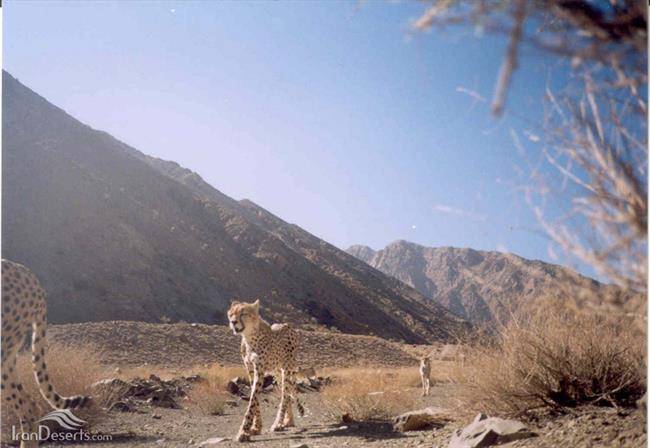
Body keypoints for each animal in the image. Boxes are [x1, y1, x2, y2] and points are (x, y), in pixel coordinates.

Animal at [228, 300, 304, 442]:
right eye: (231, 314)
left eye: (243, 313)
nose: (233, 322)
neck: (249, 337)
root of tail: (287, 325)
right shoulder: (250, 369)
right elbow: (255, 397)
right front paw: (256, 427)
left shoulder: (260, 369)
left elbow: (253, 400)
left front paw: (243, 432)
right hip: (277, 372)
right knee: (286, 392)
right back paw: (288, 421)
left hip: (287, 368)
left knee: (285, 395)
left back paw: (278, 423)